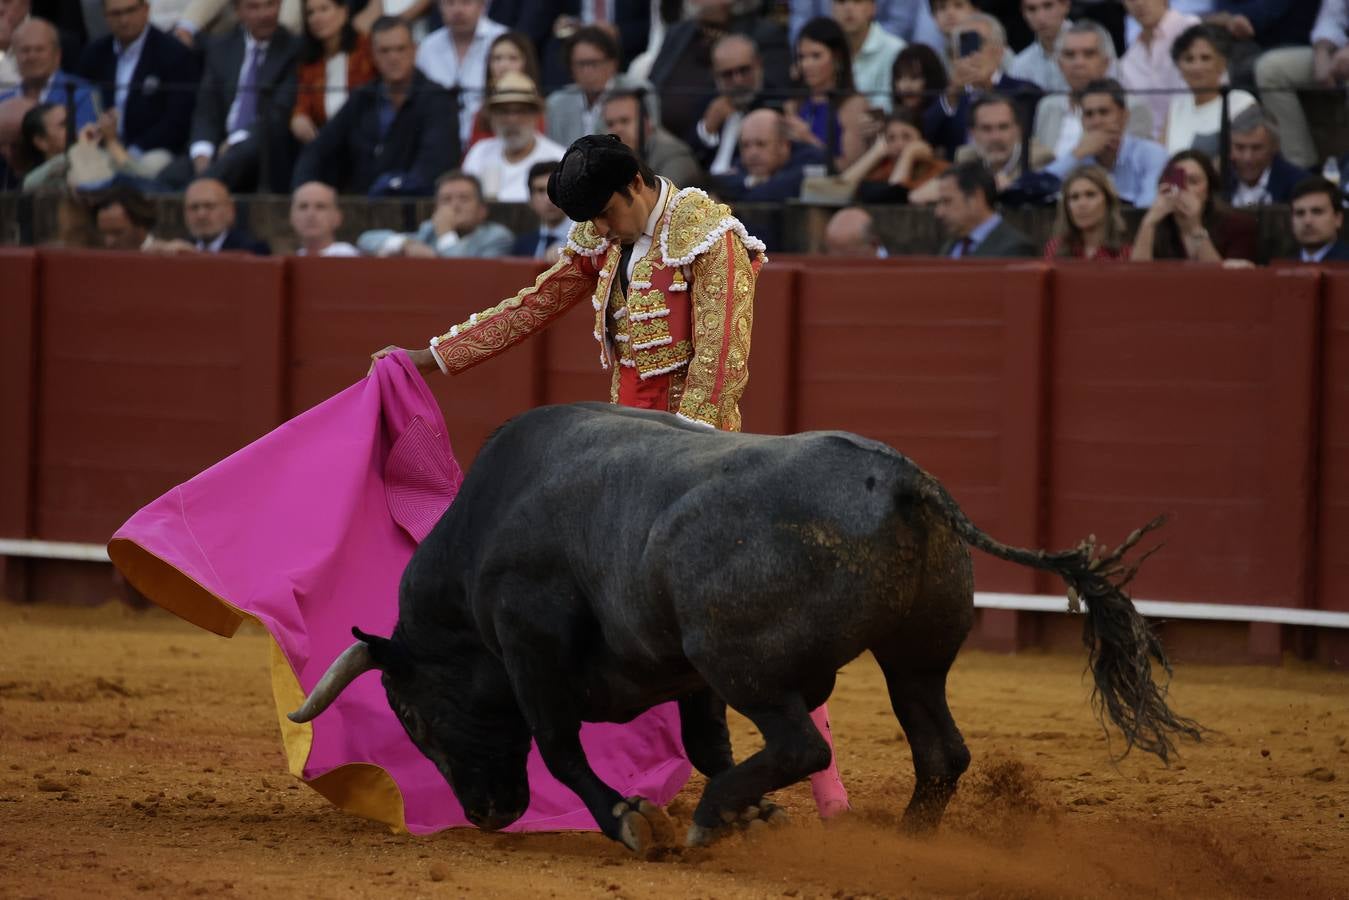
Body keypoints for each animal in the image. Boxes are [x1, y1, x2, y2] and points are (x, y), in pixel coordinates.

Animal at [287, 402, 1203, 852]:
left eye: (412, 713)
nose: (485, 814)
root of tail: (905, 480)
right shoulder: (682, 676)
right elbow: (703, 742)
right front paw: (752, 816)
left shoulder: (530, 641)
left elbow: (559, 745)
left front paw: (633, 821)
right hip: (913, 658)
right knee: (938, 750)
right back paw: (906, 845)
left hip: (744, 662)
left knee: (803, 745)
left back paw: (706, 819)